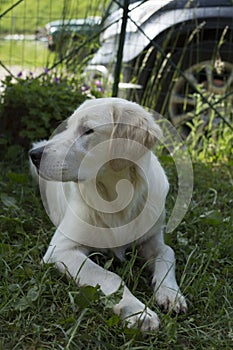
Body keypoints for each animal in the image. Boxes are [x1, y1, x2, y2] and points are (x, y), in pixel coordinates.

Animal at [29, 98, 187, 330]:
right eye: (68, 127)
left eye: (88, 130)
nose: (34, 156)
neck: (117, 199)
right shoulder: (61, 250)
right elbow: (111, 276)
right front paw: (138, 312)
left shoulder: (151, 238)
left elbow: (168, 252)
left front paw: (171, 294)